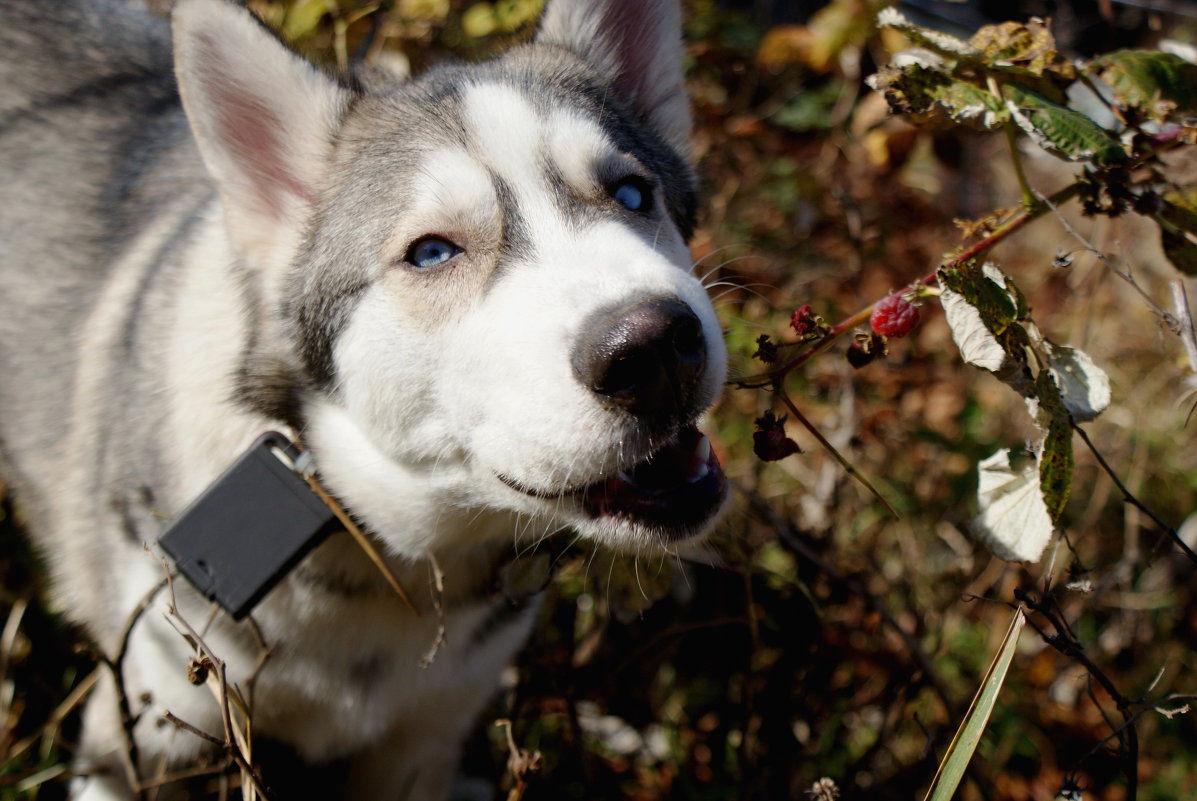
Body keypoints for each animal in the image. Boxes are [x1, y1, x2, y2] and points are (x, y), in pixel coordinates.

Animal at [0, 0, 727, 795]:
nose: (651, 347)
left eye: (631, 193)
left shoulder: (426, 735)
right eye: (432, 252)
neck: (394, 556)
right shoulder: (136, 732)